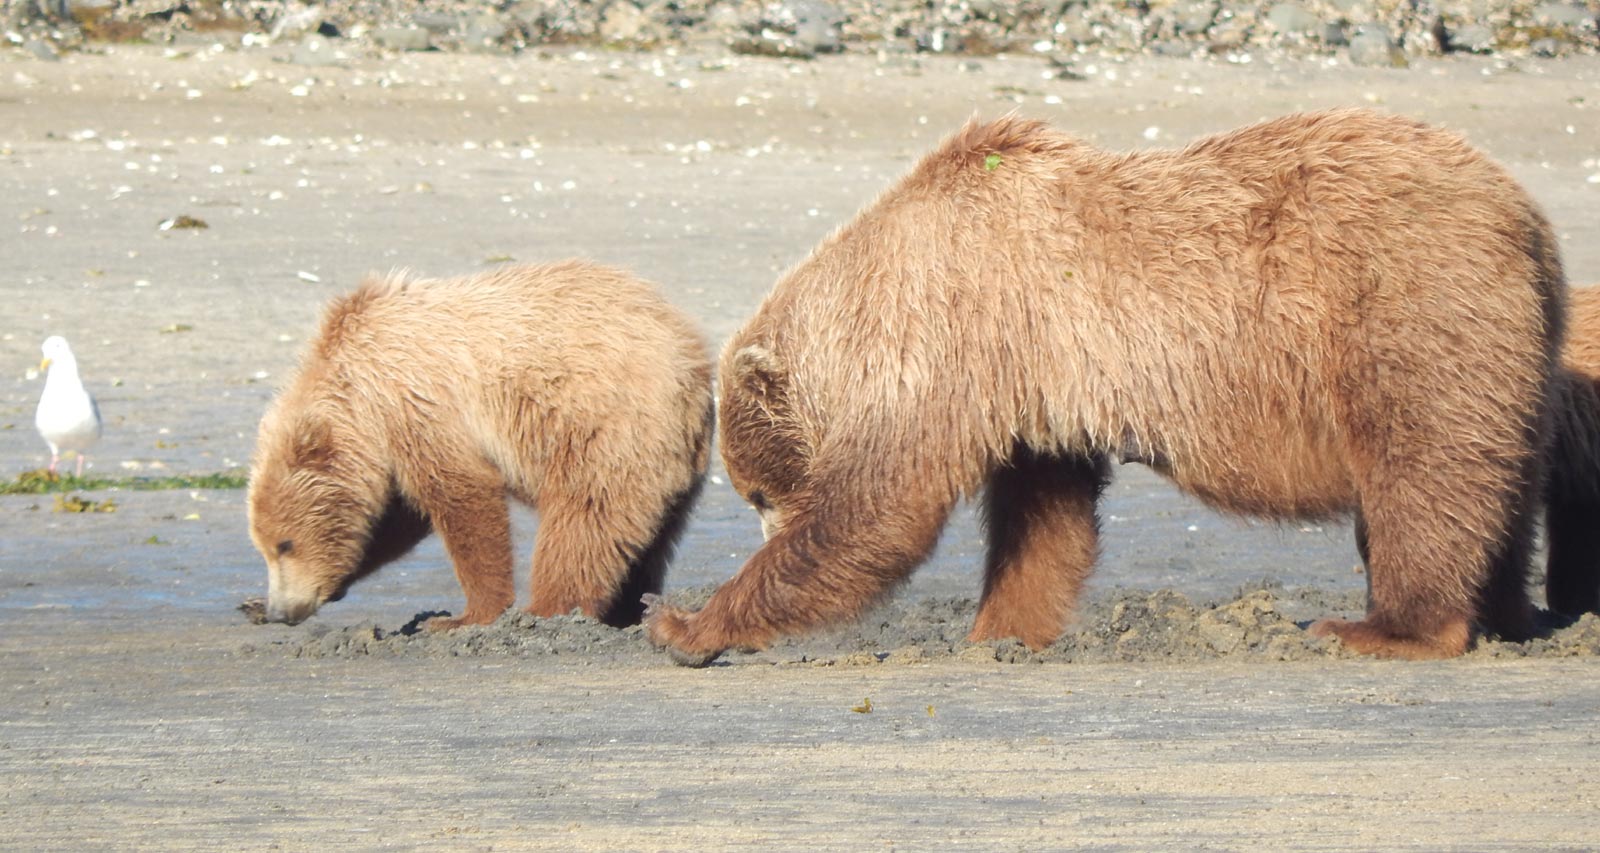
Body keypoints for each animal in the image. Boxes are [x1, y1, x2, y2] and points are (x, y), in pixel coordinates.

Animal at [248, 260, 714, 630]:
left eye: (285, 544)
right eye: (265, 548)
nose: (281, 612)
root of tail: (693, 360)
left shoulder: (418, 402)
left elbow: (463, 498)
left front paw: (466, 616)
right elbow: (396, 520)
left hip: (605, 428)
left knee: (583, 521)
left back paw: (546, 610)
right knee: (649, 537)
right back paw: (630, 609)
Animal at [644, 109, 1566, 666]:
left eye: (759, 491)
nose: (760, 526)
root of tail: (1527, 215)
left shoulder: (954, 334)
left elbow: (875, 507)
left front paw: (683, 622)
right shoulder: (1032, 385)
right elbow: (1043, 520)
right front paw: (999, 630)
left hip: (1404, 310)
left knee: (1423, 474)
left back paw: (1381, 624)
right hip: (1508, 352)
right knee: (1497, 480)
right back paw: (1509, 613)